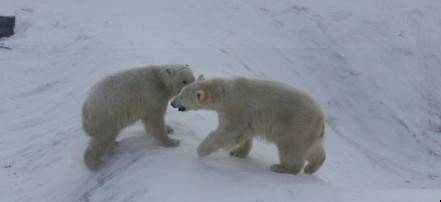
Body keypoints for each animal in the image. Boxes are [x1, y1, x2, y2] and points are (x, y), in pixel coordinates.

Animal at [170, 76, 324, 175]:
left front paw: (201, 150)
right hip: (309, 132)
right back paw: (311, 167)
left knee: (291, 149)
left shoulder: (237, 109)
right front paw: (238, 152)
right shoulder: (247, 117)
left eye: (182, 96)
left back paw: (282, 168)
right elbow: (245, 134)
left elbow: (228, 133)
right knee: (314, 150)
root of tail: (321, 117)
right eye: (180, 92)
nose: (172, 103)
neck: (224, 93)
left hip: (295, 126)